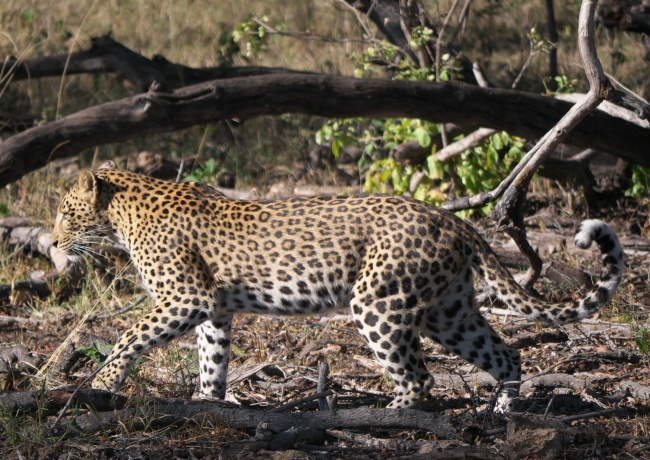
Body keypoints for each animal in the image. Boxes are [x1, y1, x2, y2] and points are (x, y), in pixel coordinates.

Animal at [52, 164, 624, 412]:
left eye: (63, 210)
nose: (53, 240)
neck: (122, 213)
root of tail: (452, 219)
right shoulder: (213, 309)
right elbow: (212, 361)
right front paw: (208, 404)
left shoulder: (186, 299)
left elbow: (129, 336)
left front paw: (103, 382)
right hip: (449, 311)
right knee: (506, 355)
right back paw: (501, 417)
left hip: (379, 304)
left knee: (419, 379)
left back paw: (388, 416)